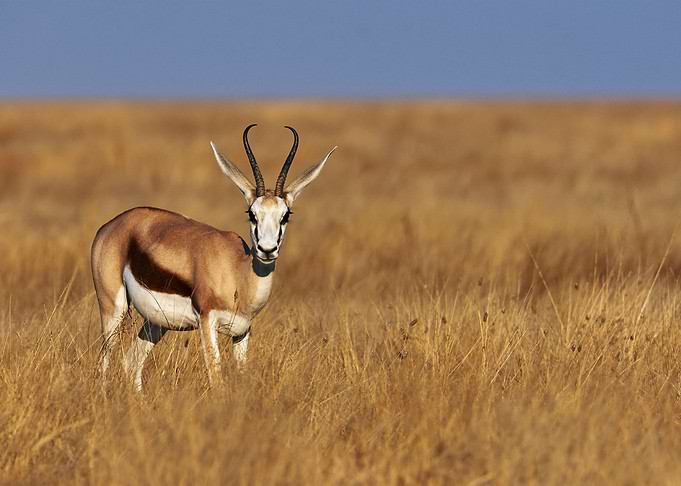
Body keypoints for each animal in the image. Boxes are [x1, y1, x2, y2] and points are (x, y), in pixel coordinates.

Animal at [91, 124, 336, 391]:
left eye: (286, 215)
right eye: (252, 213)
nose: (267, 249)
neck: (239, 273)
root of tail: (111, 225)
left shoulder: (242, 332)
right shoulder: (207, 321)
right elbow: (216, 377)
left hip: (156, 323)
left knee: (131, 362)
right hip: (114, 309)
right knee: (104, 363)